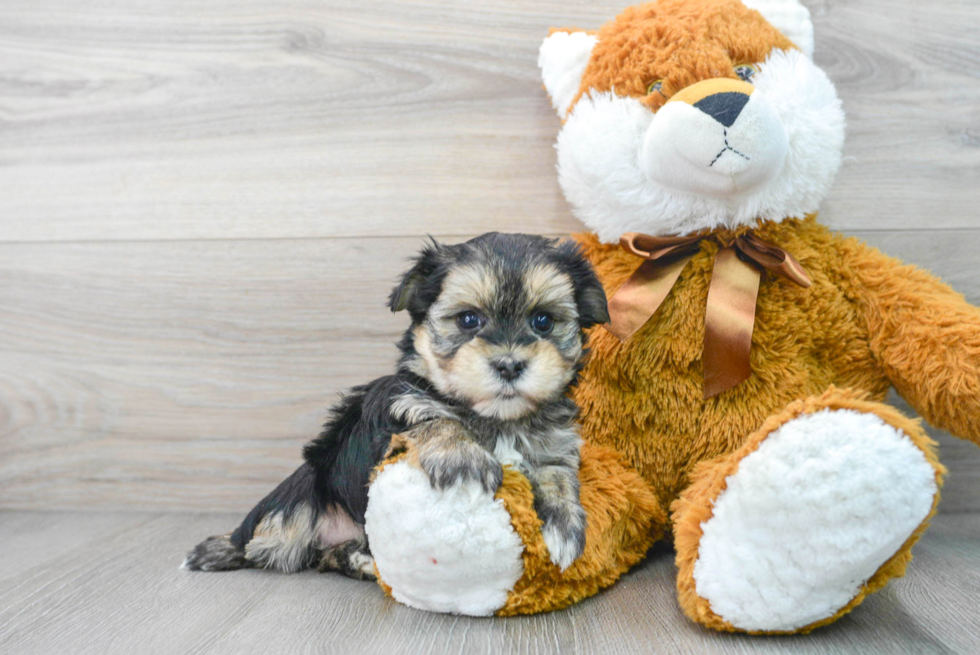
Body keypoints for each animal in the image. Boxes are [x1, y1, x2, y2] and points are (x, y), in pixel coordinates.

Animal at [184, 234, 608, 580]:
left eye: (543, 321)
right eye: (469, 319)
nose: (509, 365)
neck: (496, 419)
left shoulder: (553, 445)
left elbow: (557, 477)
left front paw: (564, 528)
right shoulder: (396, 411)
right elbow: (435, 419)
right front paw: (463, 458)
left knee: (328, 557)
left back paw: (361, 561)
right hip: (306, 489)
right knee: (270, 537)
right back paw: (225, 548)